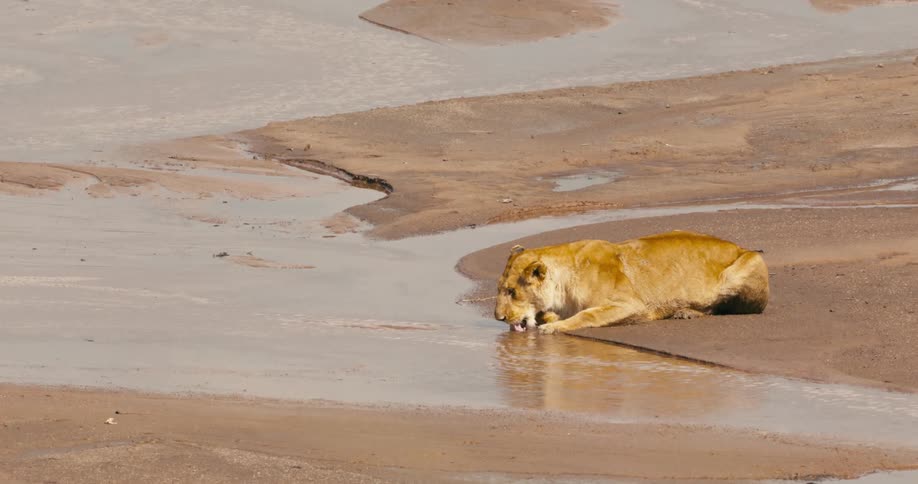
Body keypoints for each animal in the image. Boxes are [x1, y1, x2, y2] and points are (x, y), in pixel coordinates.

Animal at [494, 230, 769, 334]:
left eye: (511, 291)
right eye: (499, 289)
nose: (499, 318)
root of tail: (741, 246)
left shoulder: (632, 305)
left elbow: (588, 314)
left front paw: (553, 327)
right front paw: (548, 318)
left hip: (751, 261)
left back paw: (687, 312)